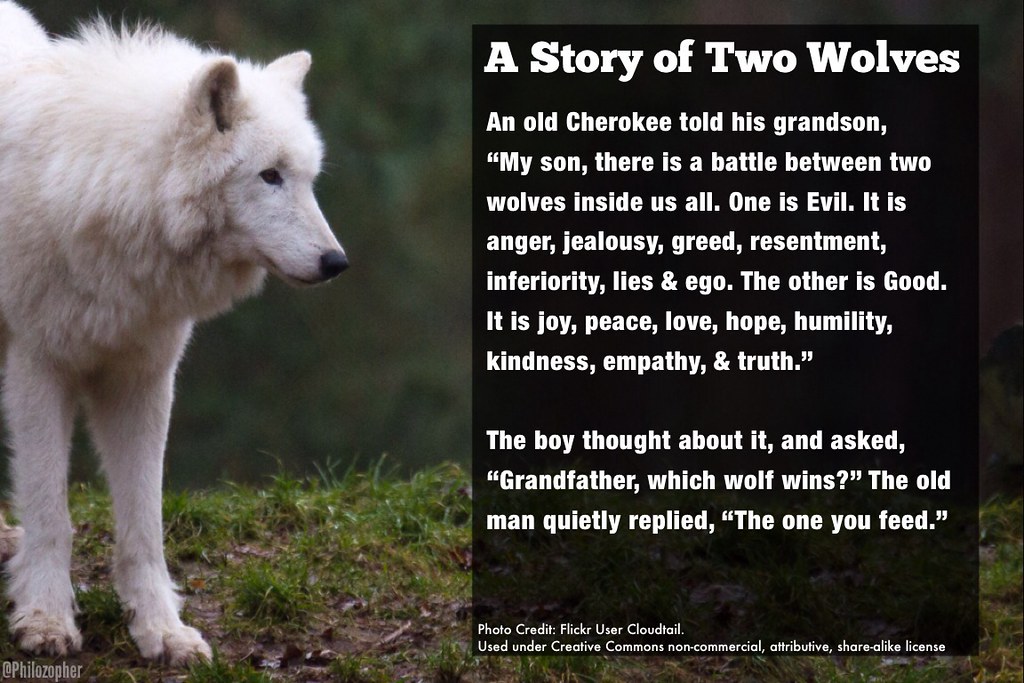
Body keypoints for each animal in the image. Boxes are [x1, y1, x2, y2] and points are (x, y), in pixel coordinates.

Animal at [0, 2, 346, 664]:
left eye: (307, 179)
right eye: (269, 176)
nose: (336, 262)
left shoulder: (143, 378)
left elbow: (144, 525)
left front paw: (162, 631)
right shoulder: (39, 368)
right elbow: (52, 515)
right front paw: (46, 620)